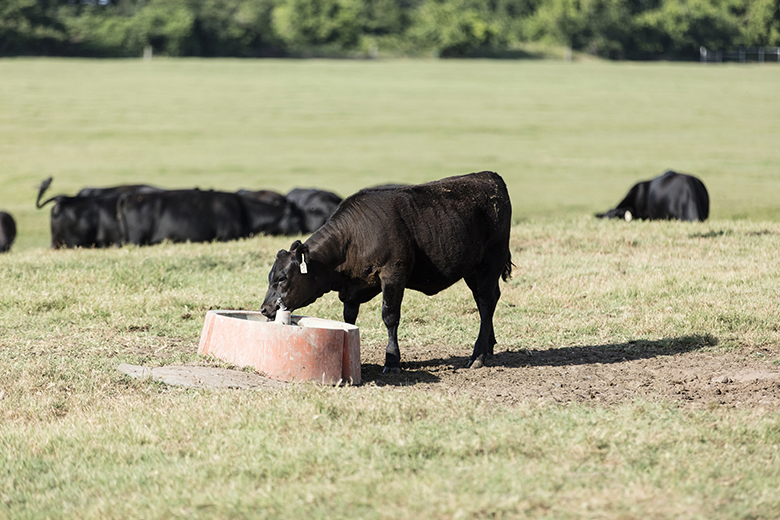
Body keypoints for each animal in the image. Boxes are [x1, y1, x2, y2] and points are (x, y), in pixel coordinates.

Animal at [262, 173, 516, 372]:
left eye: (282, 278)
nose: (265, 308)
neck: (355, 238)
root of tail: (490, 177)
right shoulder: (352, 288)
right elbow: (349, 317)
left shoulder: (394, 274)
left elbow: (390, 316)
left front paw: (392, 359)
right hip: (473, 270)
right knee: (486, 301)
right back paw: (489, 346)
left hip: (491, 260)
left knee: (486, 302)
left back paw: (478, 355)